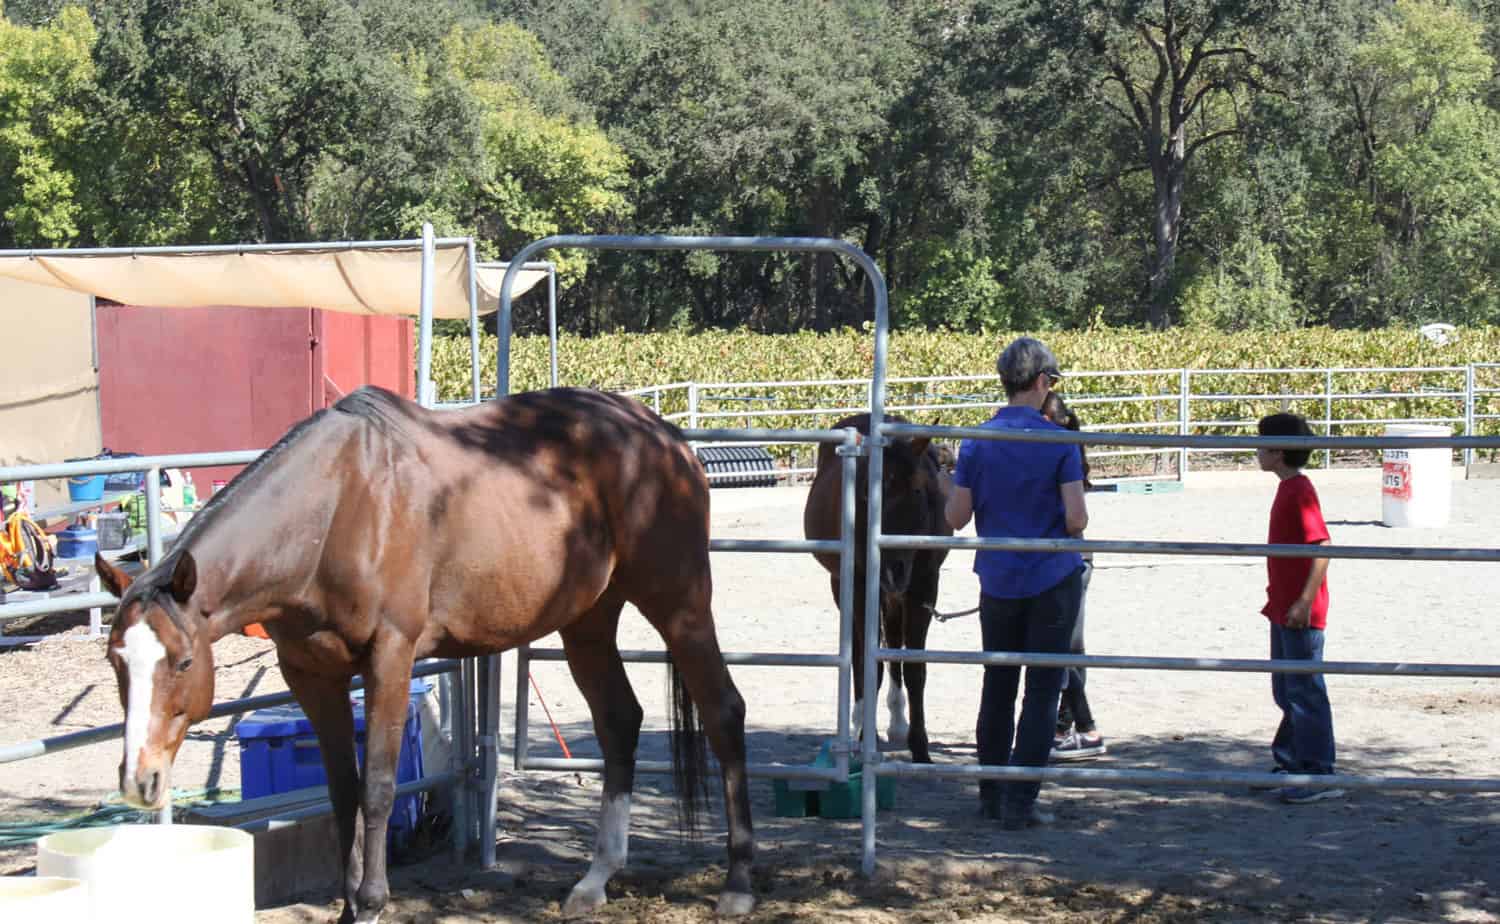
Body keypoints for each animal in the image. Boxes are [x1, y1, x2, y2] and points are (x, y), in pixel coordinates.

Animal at [96, 387, 750, 924]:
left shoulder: (390, 655)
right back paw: (595, 880)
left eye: (183, 663)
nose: (139, 779)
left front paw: (371, 902)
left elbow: (380, 786)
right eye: (115, 662)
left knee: (724, 712)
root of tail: (665, 436)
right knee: (619, 722)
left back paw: (737, 884)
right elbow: (343, 791)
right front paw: (347, 906)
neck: (335, 510)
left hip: (680, 602)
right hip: (588, 621)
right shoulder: (310, 674)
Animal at [804, 414, 954, 762]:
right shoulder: (860, 585)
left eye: (917, 489)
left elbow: (914, 669)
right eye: (864, 495)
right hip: (845, 586)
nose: (891, 568)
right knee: (861, 653)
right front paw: (863, 737)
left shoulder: (924, 587)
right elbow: (866, 663)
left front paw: (920, 748)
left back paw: (897, 723)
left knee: (894, 645)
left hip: (896, 597)